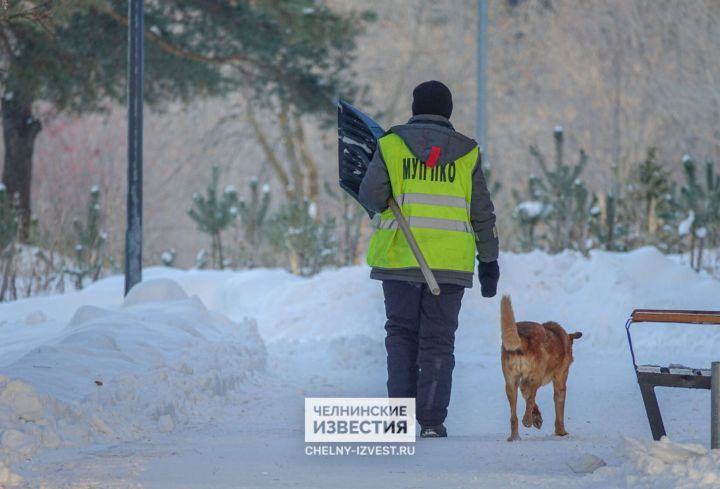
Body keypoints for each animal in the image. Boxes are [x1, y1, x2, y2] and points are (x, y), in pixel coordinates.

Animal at [504, 296, 584, 440]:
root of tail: (522, 337)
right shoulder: (560, 381)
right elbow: (559, 409)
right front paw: (561, 431)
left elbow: (526, 396)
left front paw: (537, 417)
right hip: (537, 378)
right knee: (530, 397)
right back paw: (527, 420)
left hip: (510, 383)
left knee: (515, 415)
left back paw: (515, 437)